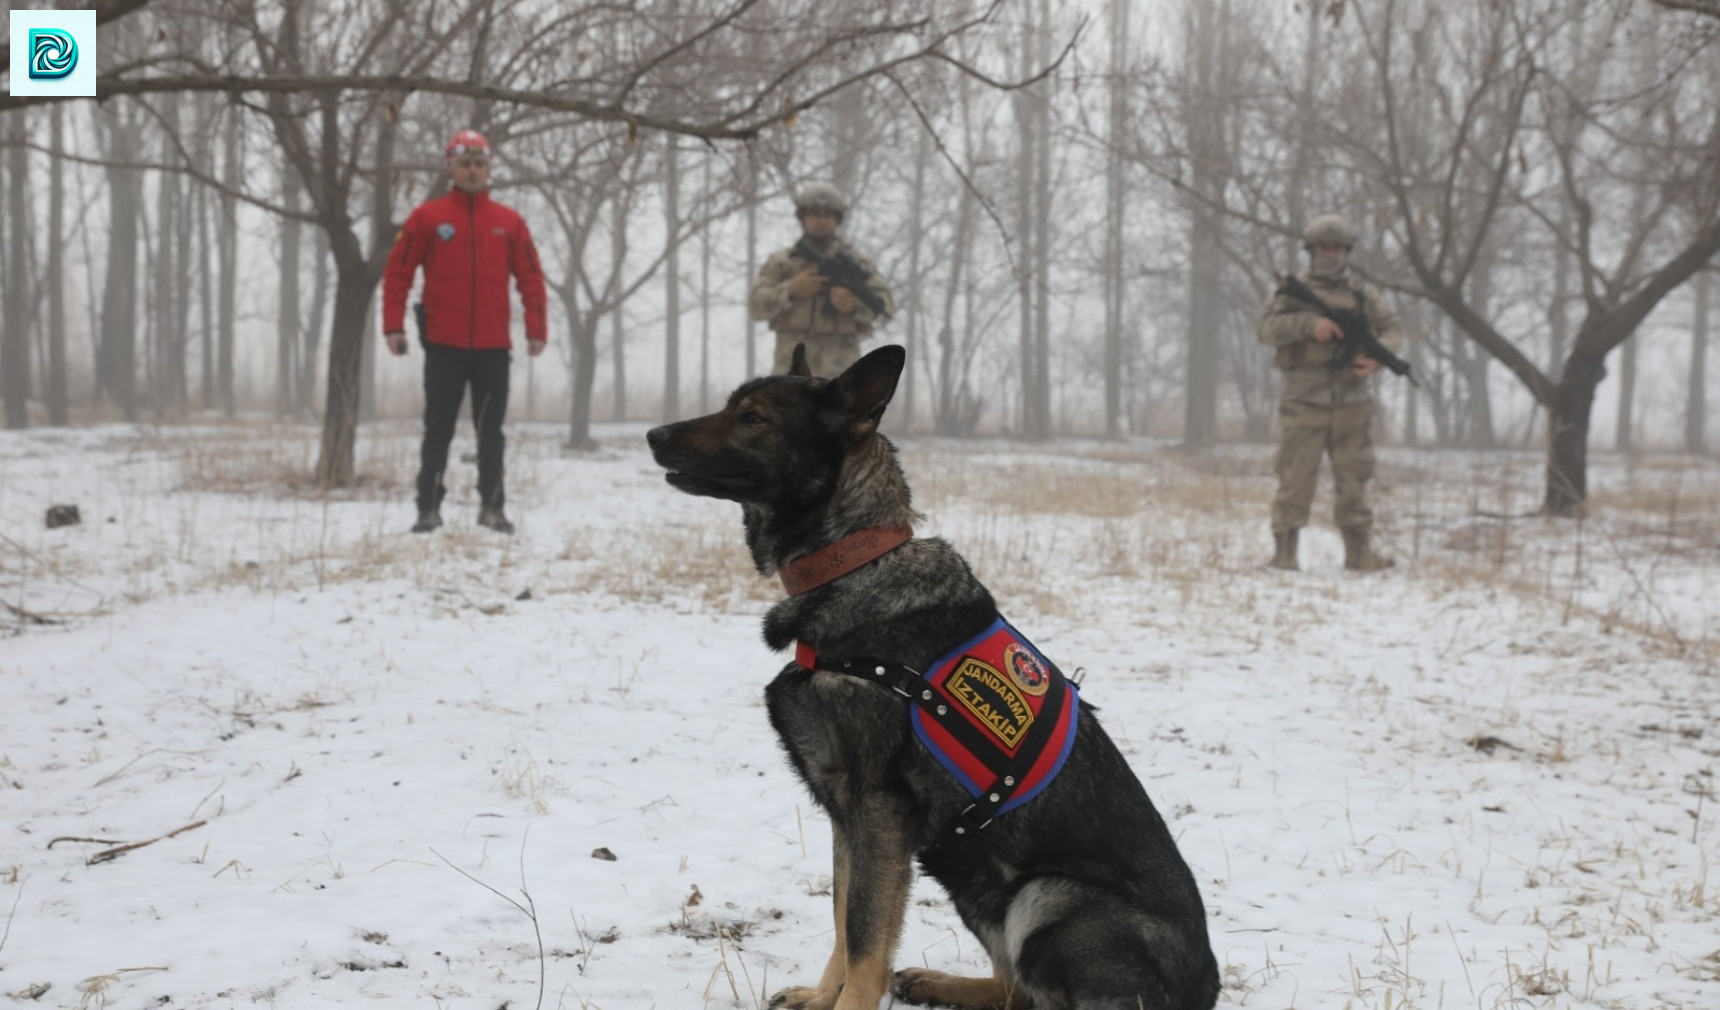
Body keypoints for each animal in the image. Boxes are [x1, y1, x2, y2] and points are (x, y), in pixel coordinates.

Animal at [646, 347, 1224, 1010]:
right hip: (963, 874)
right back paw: (939, 982)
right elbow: (844, 923)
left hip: (1044, 896)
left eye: (754, 417)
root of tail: (1206, 985)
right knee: (1012, 987)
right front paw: (822, 998)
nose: (653, 435)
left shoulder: (877, 813)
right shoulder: (849, 817)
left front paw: (846, 1004)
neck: (855, 563)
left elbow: (865, 937)